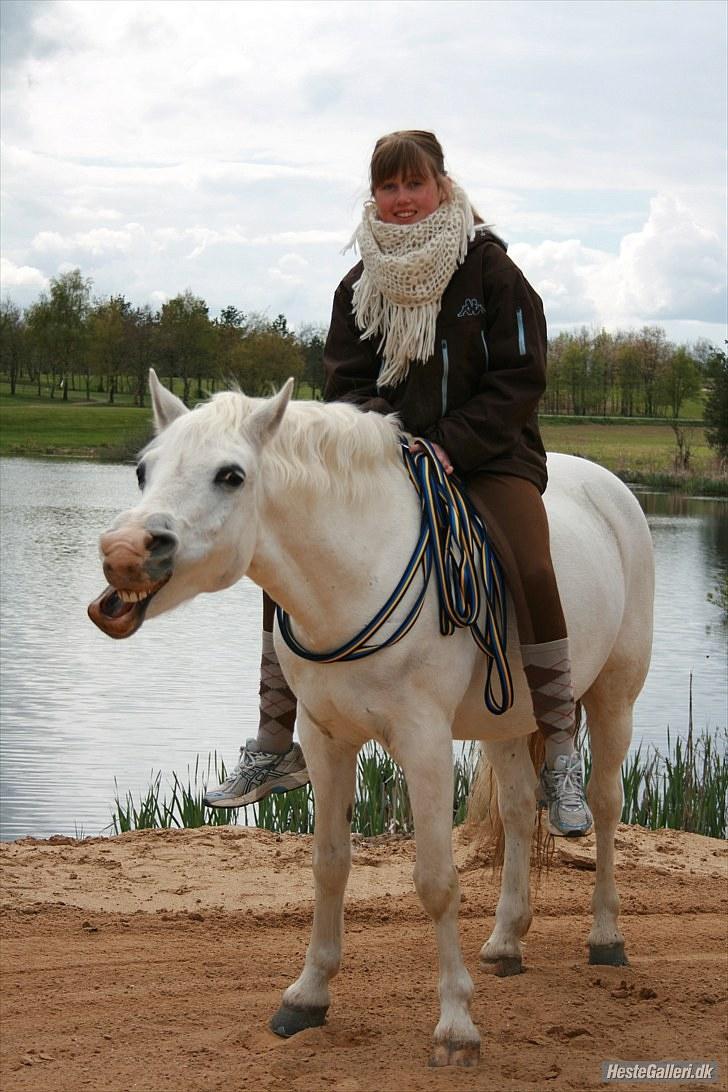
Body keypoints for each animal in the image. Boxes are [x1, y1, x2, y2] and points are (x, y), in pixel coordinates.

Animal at [88, 371, 654, 1068]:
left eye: (231, 475)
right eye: (144, 469)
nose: (124, 552)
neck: (358, 573)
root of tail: (612, 488)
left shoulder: (424, 744)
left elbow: (436, 881)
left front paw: (455, 1025)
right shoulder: (326, 740)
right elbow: (329, 864)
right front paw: (307, 996)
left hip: (614, 696)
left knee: (605, 804)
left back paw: (606, 935)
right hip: (503, 724)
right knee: (521, 810)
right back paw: (506, 941)